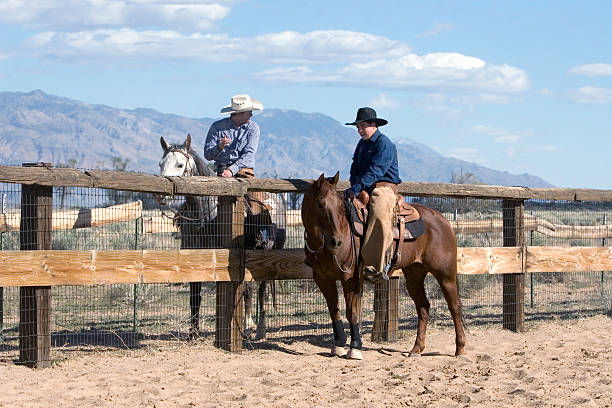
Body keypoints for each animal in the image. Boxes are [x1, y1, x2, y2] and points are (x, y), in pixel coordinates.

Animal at [304, 172, 466, 360]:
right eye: (320, 204)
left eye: (340, 206)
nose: (335, 241)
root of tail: (443, 221)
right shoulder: (323, 279)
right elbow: (334, 311)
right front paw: (338, 346)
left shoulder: (349, 277)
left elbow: (352, 312)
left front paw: (355, 347)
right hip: (414, 275)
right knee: (423, 307)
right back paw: (416, 348)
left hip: (445, 274)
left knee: (454, 306)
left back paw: (460, 348)